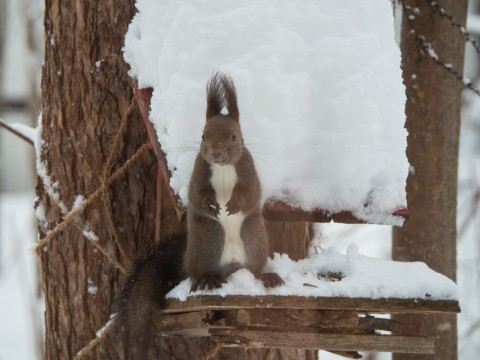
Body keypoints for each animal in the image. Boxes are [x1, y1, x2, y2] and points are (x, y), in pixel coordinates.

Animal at [116, 72, 282, 358]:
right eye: (203, 135)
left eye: (234, 137)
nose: (215, 154)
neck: (223, 168)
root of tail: (230, 268)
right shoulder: (198, 175)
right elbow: (197, 197)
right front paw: (212, 205)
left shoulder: (248, 171)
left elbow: (250, 194)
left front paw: (234, 203)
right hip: (208, 241)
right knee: (197, 272)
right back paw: (206, 280)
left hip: (253, 239)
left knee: (253, 268)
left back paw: (264, 276)